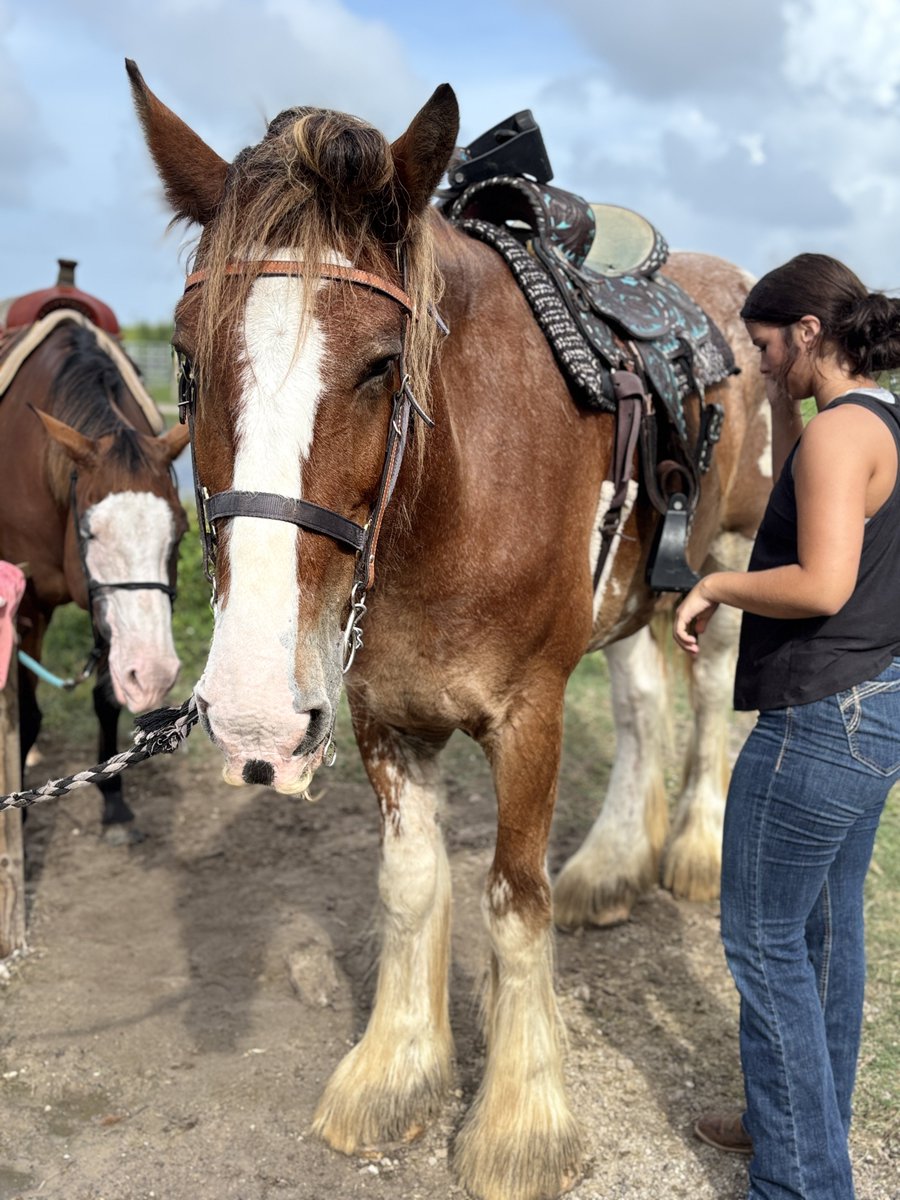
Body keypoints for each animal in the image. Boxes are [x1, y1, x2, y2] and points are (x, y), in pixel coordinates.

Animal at [0, 307, 189, 840]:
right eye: (88, 532)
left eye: (181, 531)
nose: (154, 674)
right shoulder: (26, 605)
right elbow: (28, 712)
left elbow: (106, 699)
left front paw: (114, 800)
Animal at [127, 61, 771, 1200]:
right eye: (189, 363)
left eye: (384, 365)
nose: (249, 718)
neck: (445, 499)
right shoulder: (381, 713)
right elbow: (413, 884)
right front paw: (397, 1072)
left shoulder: (528, 717)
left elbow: (512, 902)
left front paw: (519, 1120)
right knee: (644, 703)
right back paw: (613, 864)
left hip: (727, 561)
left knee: (705, 695)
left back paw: (693, 847)